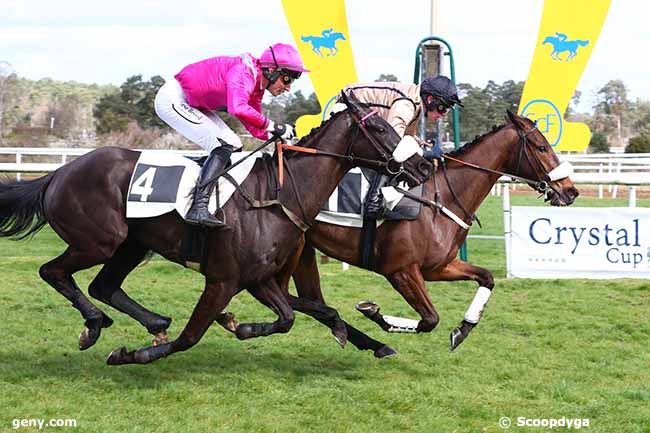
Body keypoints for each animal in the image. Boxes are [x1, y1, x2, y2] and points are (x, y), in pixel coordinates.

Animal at [1, 92, 436, 364]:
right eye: (380, 129)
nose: (422, 166)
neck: (277, 195)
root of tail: (58, 173)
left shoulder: (258, 278)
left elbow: (290, 317)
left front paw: (242, 326)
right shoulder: (223, 279)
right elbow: (192, 336)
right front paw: (133, 355)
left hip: (131, 245)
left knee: (103, 286)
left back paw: (150, 322)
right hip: (98, 242)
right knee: (53, 271)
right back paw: (94, 326)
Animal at [284, 109, 576, 356]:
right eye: (542, 147)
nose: (570, 190)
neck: (442, 199)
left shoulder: (438, 267)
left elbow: (487, 278)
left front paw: (463, 329)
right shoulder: (400, 271)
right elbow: (430, 319)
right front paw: (374, 313)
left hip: (302, 250)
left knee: (312, 300)